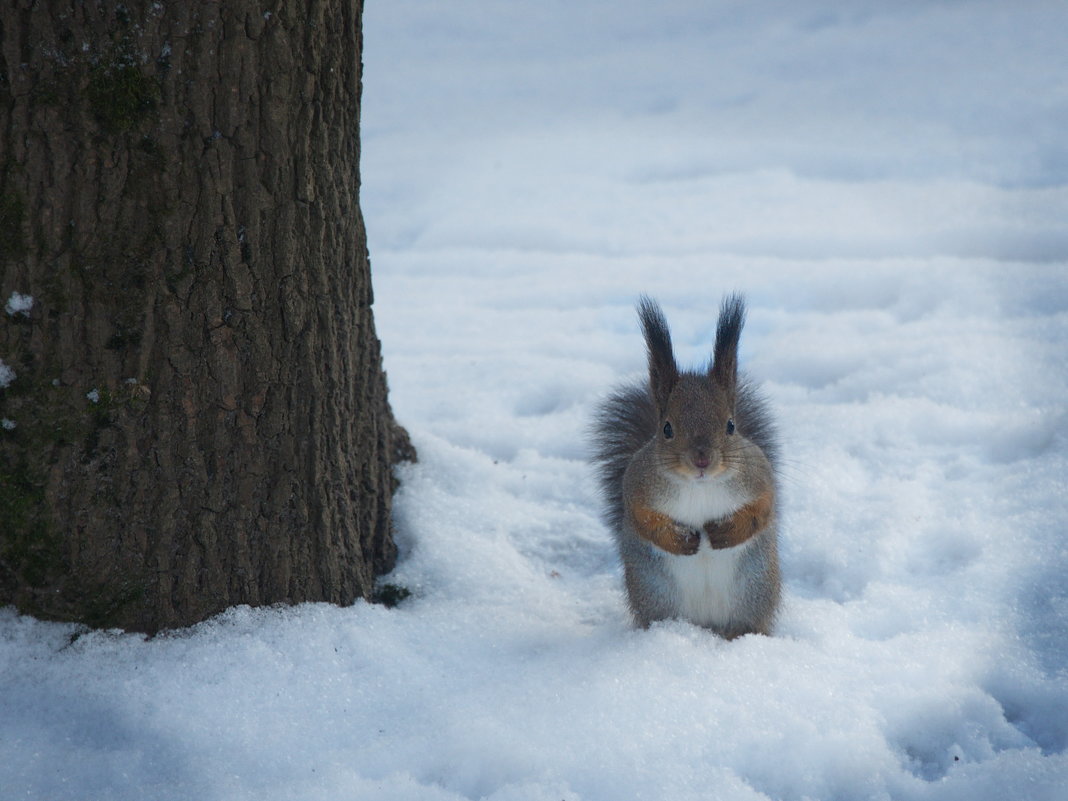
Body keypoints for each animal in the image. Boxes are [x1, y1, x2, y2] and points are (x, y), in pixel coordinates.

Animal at [593, 294, 777, 640]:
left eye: (731, 426)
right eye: (667, 428)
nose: (702, 459)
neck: (699, 485)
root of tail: (707, 626)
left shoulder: (758, 476)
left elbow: (762, 509)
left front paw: (723, 533)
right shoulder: (637, 485)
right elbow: (643, 519)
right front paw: (682, 539)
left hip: (755, 590)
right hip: (654, 593)